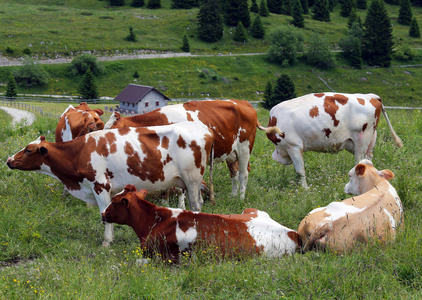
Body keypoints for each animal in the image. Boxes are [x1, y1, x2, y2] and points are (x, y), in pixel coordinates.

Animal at [7, 122, 214, 246]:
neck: (80, 152)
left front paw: (106, 242)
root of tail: (204, 129)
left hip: (192, 179)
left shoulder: (100, 186)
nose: (9, 160)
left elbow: (103, 214)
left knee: (196, 205)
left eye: (28, 150)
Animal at [101, 184, 300, 264]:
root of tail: (292, 233)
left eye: (114, 201)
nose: (102, 213)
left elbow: (134, 262)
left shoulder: (167, 259)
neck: (155, 221)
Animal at [104, 99, 280, 200]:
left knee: (244, 173)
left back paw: (241, 198)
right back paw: (233, 195)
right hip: (231, 152)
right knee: (234, 172)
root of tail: (245, 103)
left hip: (245, 148)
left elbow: (179, 189)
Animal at [268, 92, 402, 189]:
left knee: (360, 161)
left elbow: (300, 170)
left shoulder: (293, 146)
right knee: (368, 160)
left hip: (361, 140)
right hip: (367, 142)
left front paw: (304, 189)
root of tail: (370, 96)